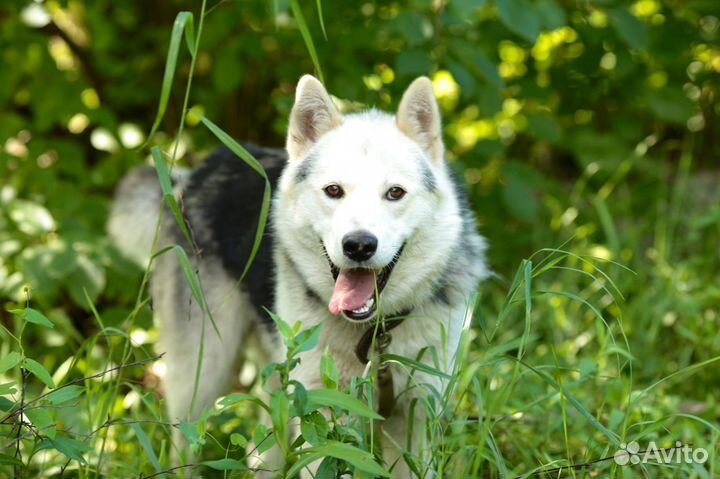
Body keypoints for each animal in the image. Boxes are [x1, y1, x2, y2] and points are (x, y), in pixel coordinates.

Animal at [108, 75, 490, 476]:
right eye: (334, 191)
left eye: (395, 193)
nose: (358, 245)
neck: (373, 334)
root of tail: (199, 172)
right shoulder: (321, 414)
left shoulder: (414, 417)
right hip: (200, 378)